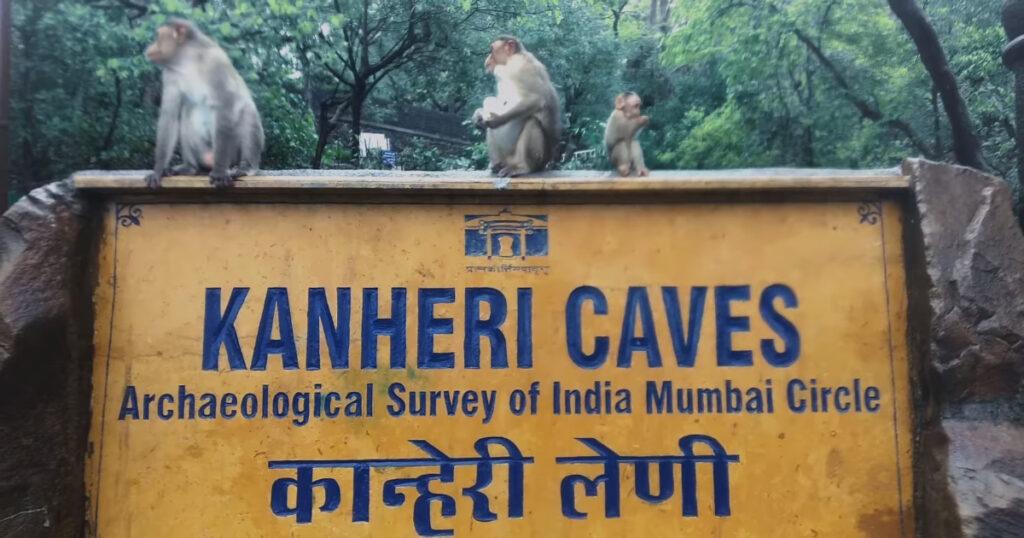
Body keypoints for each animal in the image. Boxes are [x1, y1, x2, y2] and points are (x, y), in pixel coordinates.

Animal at [144, 17, 264, 188]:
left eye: (157, 36)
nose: (150, 46)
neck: (187, 62)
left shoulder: (216, 63)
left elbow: (226, 106)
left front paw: (219, 172)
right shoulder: (170, 74)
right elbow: (170, 115)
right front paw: (158, 170)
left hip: (232, 152)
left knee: (248, 112)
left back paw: (247, 167)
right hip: (201, 150)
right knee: (186, 112)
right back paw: (190, 167)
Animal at [471, 36, 561, 178]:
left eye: (492, 50)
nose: (487, 60)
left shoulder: (520, 66)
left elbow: (536, 100)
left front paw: (496, 120)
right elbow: (496, 100)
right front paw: (478, 115)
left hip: (536, 158)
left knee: (532, 122)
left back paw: (523, 167)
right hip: (504, 157)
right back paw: (496, 166)